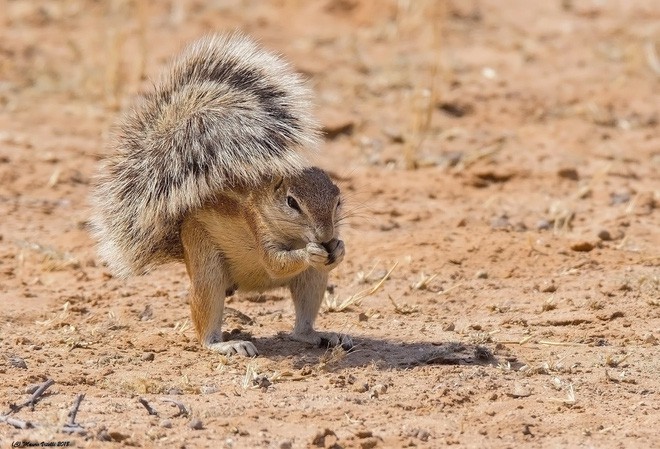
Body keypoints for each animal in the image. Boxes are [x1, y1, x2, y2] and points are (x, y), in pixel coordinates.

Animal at [92, 33, 354, 356]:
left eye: (338, 199)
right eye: (292, 202)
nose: (326, 237)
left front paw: (339, 247)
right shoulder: (257, 226)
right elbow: (275, 262)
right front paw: (309, 252)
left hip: (313, 279)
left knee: (300, 327)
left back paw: (323, 335)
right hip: (205, 266)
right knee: (206, 323)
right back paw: (227, 345)